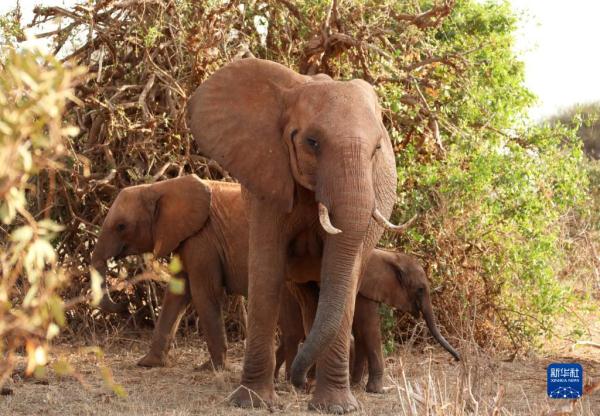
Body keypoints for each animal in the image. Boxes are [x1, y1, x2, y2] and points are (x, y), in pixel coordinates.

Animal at [186, 58, 404, 412]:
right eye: (312, 142)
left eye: (376, 150)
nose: (296, 381)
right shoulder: (268, 176)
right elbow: (267, 269)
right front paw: (251, 402)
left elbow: (345, 275)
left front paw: (335, 408)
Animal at [276, 250, 460, 394]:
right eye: (420, 290)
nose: (457, 358)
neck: (391, 257)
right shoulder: (366, 288)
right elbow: (368, 327)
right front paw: (376, 390)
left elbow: (359, 330)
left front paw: (355, 384)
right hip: (288, 295)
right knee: (293, 335)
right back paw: (292, 383)